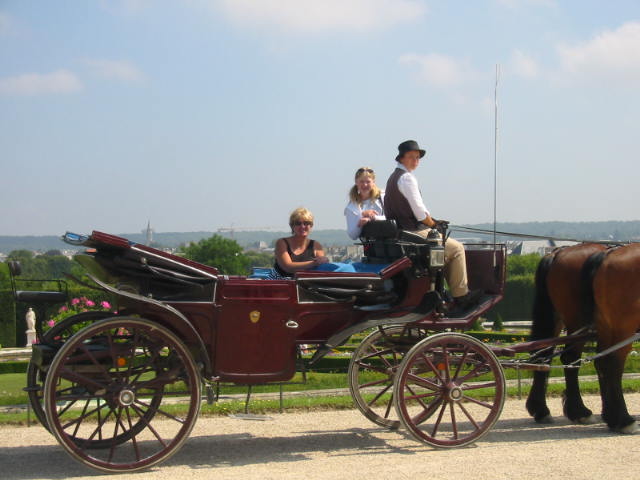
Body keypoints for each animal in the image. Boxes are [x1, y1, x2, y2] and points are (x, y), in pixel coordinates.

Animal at [524, 244, 604, 424]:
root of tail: (557, 252)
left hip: (556, 318)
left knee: (544, 356)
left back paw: (540, 410)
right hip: (576, 321)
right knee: (570, 359)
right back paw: (579, 411)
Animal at [584, 242, 640, 434]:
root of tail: (609, 254)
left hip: (607, 326)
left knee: (602, 362)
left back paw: (612, 418)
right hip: (624, 328)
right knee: (614, 364)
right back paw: (624, 420)